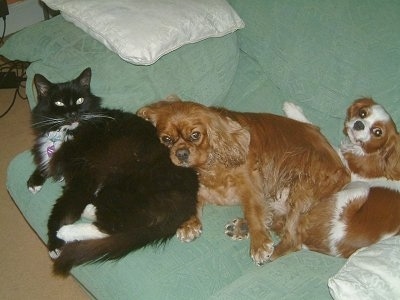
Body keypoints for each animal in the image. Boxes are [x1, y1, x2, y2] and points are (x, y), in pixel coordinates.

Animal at [26, 68, 198, 276]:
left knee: (111, 226)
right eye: (59, 102)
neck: (67, 132)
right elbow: (46, 164)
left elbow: (62, 209)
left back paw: (68, 231)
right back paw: (89, 209)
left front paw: (54, 243)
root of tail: (190, 200)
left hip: (121, 184)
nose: (73, 113)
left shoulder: (84, 177)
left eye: (80, 100)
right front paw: (34, 181)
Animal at [138, 95, 350, 264]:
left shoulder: (250, 185)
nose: (181, 153)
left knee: (293, 238)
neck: (208, 165)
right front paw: (189, 224)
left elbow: (253, 212)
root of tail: (343, 168)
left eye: (195, 135)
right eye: (166, 140)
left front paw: (259, 244)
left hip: (301, 188)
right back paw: (240, 227)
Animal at [282, 99, 400, 258]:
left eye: (377, 132)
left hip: (359, 188)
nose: (359, 124)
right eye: (363, 113)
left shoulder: (347, 169)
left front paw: (293, 111)